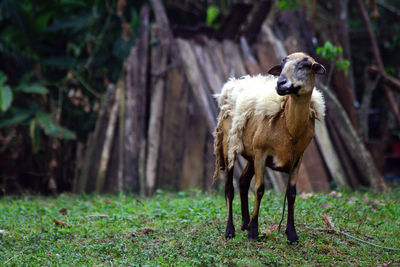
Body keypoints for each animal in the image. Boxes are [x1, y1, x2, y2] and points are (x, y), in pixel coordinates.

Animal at [212, 51, 324, 243]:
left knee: (243, 182)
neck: (289, 125)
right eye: (282, 65)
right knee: (229, 189)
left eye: (305, 65)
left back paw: (245, 223)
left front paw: (292, 234)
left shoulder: (298, 157)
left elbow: (291, 193)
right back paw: (230, 230)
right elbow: (259, 189)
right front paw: (254, 232)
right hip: (229, 146)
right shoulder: (261, 153)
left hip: (251, 155)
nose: (280, 83)